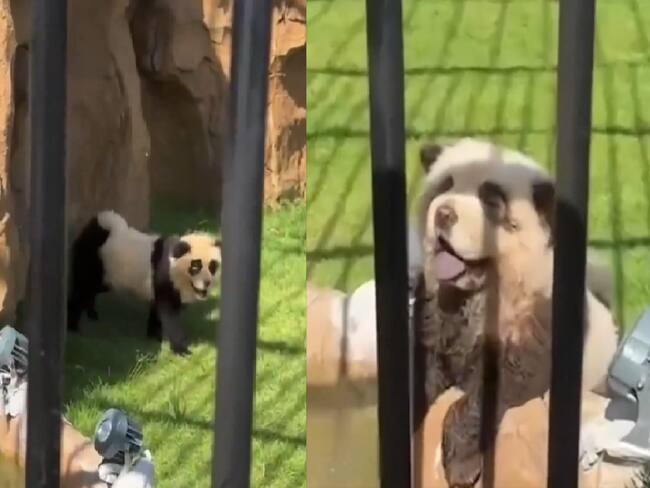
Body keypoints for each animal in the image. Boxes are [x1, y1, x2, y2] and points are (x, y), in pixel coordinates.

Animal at [67, 210, 221, 356]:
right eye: (196, 266)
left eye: (212, 266)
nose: (207, 283)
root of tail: (96, 228)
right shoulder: (164, 275)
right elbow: (170, 315)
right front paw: (181, 350)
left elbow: (158, 311)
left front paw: (154, 337)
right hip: (95, 262)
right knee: (82, 289)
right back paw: (72, 326)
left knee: (91, 291)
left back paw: (91, 313)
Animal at [412, 138, 619, 486]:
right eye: (445, 185)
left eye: (491, 201)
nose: (443, 213)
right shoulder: (437, 321)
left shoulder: (534, 333)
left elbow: (485, 395)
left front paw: (461, 465)